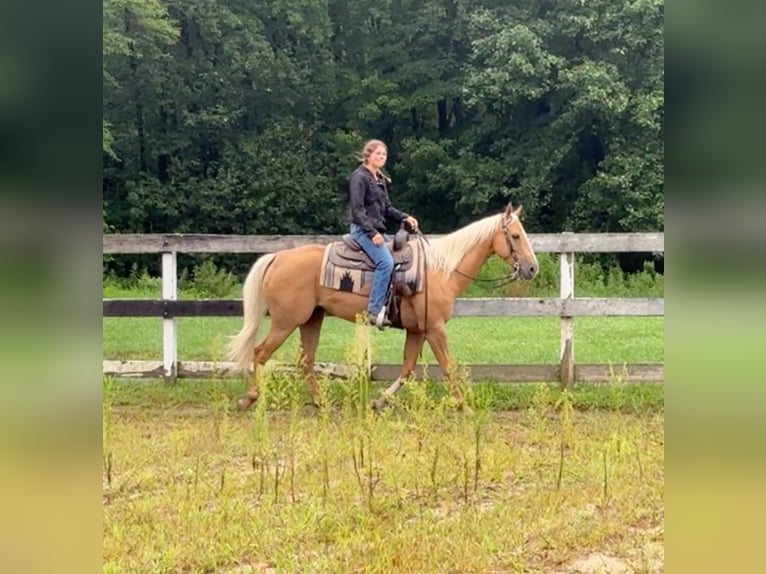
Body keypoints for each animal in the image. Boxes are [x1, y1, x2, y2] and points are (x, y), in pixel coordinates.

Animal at [228, 205, 540, 412]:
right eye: (514, 236)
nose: (532, 268)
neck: (440, 270)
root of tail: (277, 257)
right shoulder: (435, 329)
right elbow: (448, 366)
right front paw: (463, 405)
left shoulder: (418, 330)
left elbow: (408, 368)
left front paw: (380, 401)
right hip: (285, 321)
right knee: (260, 353)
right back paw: (249, 398)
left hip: (311, 319)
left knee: (305, 361)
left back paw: (319, 402)